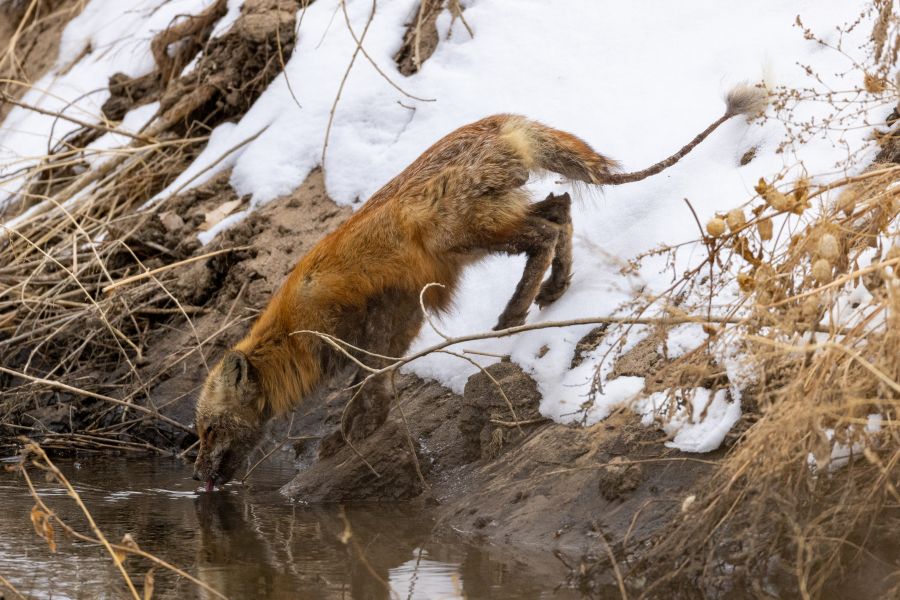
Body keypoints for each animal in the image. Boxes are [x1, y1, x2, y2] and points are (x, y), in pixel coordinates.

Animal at [193, 85, 766, 490]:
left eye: (208, 432)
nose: (199, 478)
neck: (294, 327)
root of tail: (501, 122)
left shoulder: (375, 321)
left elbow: (370, 386)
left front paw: (350, 434)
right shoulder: (398, 320)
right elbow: (375, 383)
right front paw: (359, 428)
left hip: (463, 232)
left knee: (547, 231)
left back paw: (514, 314)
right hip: (490, 224)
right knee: (561, 209)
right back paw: (554, 289)